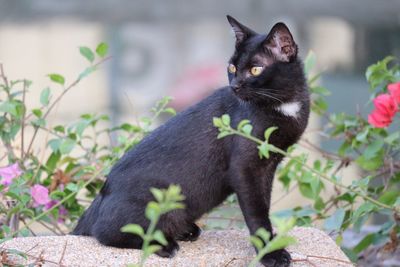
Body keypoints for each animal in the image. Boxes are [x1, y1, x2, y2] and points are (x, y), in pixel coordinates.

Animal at [72, 15, 310, 266]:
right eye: (232, 67)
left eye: (256, 69)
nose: (234, 86)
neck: (285, 105)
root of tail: (101, 196)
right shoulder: (246, 168)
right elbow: (257, 213)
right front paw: (270, 253)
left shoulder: (269, 165)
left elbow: (264, 205)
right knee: (106, 232)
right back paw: (164, 243)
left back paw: (185, 230)